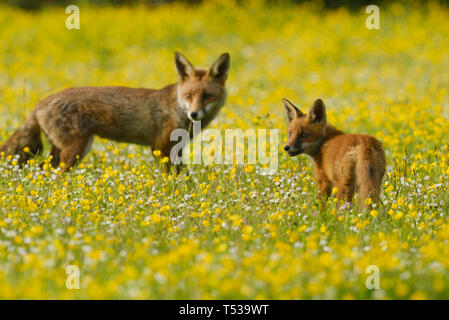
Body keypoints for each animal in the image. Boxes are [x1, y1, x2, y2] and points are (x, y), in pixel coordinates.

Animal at [0, 52, 229, 171]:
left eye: (207, 96)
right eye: (189, 96)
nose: (194, 114)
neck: (176, 107)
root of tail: (41, 102)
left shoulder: (176, 148)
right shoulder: (161, 147)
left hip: (67, 151)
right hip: (75, 150)